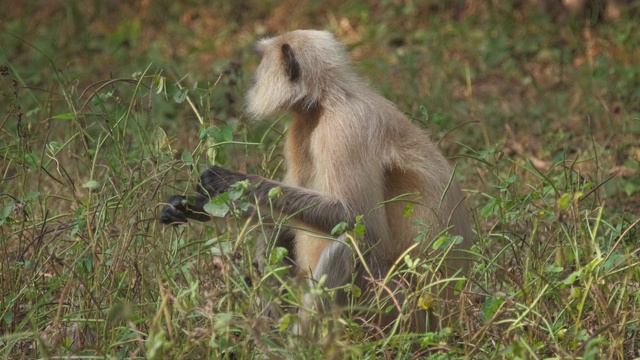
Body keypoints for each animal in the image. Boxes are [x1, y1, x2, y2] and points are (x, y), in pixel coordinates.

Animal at [159, 29, 470, 334]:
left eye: (262, 62)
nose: (254, 77)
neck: (327, 100)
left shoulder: (344, 128)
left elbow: (360, 220)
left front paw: (231, 181)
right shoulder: (301, 127)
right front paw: (194, 205)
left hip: (392, 306)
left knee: (348, 242)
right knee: (280, 229)